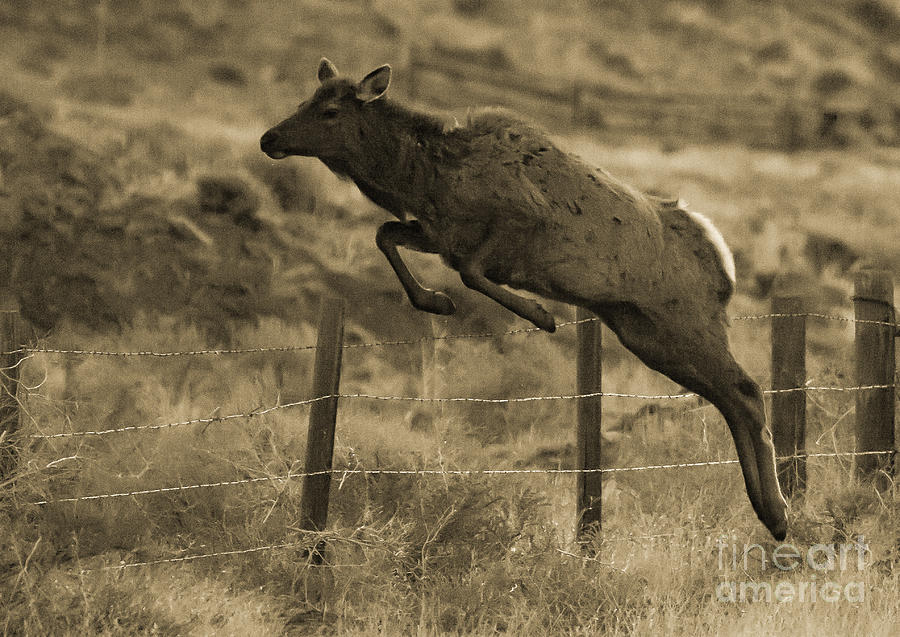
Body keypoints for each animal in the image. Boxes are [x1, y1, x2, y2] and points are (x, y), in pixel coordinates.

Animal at [260, 58, 788, 536]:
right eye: (303, 101)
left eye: (330, 111)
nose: (268, 138)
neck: (428, 182)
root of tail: (724, 263)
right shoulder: (440, 233)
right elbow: (385, 235)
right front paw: (435, 300)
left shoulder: (521, 219)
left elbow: (471, 272)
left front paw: (539, 314)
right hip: (646, 332)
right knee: (727, 395)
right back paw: (767, 509)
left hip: (685, 320)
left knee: (746, 390)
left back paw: (779, 513)